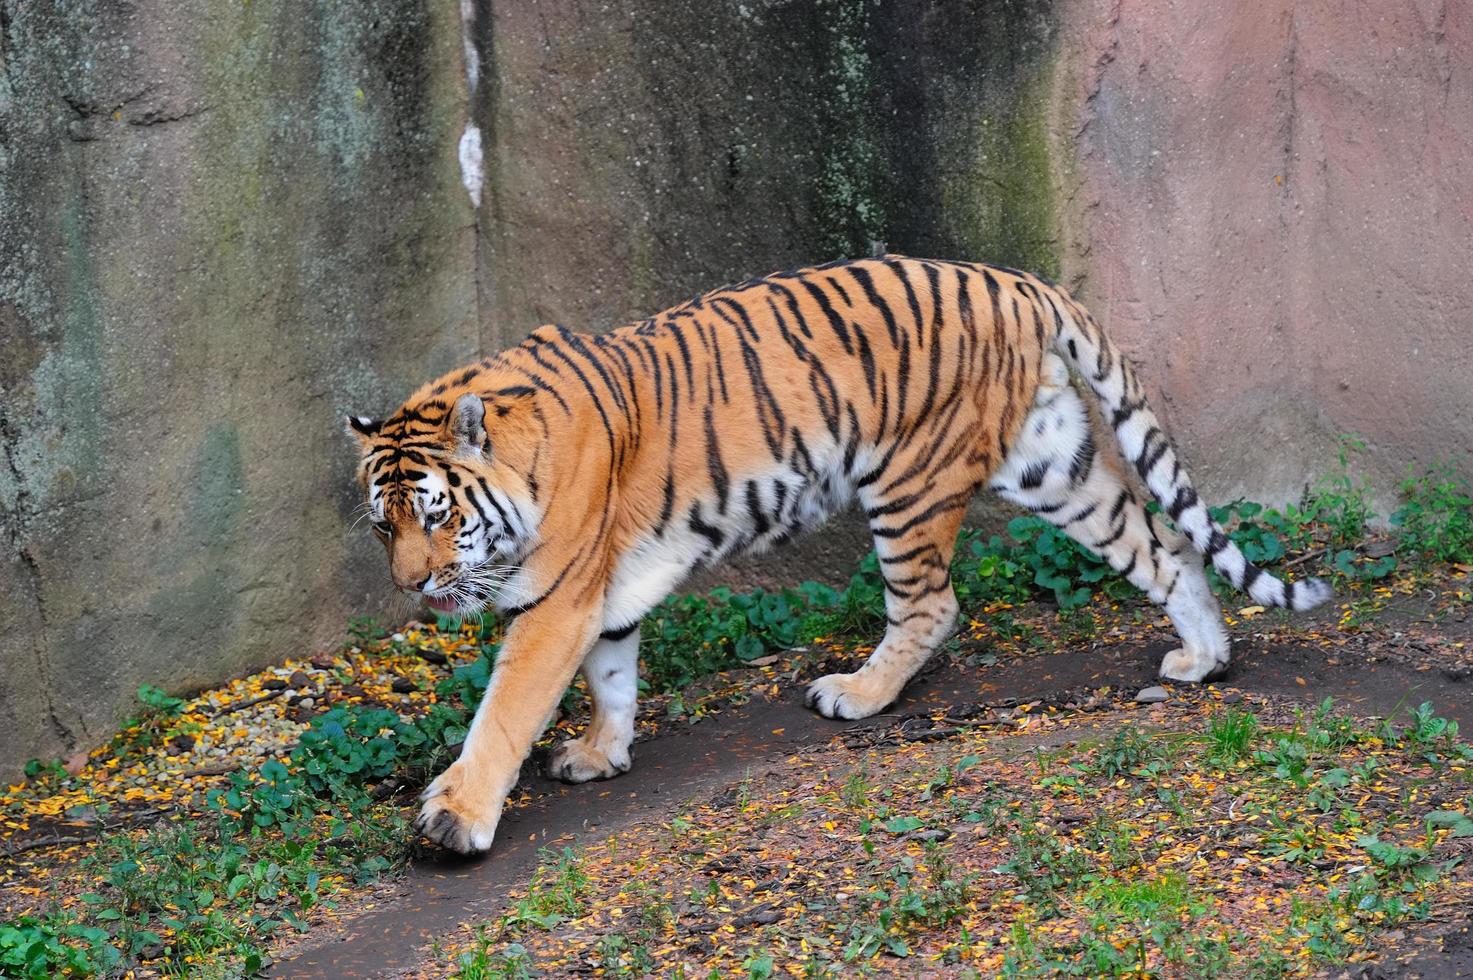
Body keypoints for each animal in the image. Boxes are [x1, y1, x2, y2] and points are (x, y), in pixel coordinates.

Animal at [347, 256, 1337, 854]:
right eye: (382, 526)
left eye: (438, 516)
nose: (413, 588)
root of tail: (1017, 280)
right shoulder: (605, 590)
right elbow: (613, 674)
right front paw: (601, 753)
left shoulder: (555, 597)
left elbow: (506, 710)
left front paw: (456, 817)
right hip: (1053, 466)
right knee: (1163, 546)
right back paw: (1204, 657)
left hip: (906, 482)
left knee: (932, 605)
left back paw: (856, 694)